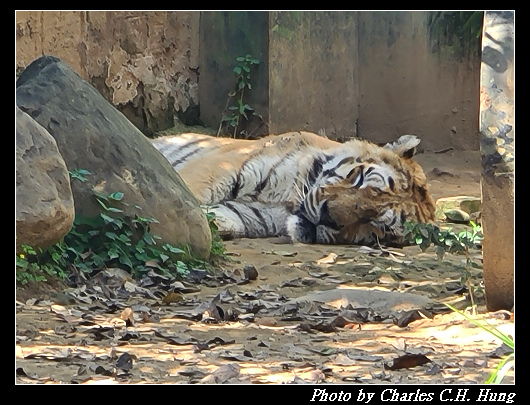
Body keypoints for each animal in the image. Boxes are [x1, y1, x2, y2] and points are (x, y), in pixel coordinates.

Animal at [150, 132, 434, 246]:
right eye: (358, 176)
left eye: (375, 225)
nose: (327, 216)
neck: (287, 200)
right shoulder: (217, 169)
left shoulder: (249, 214)